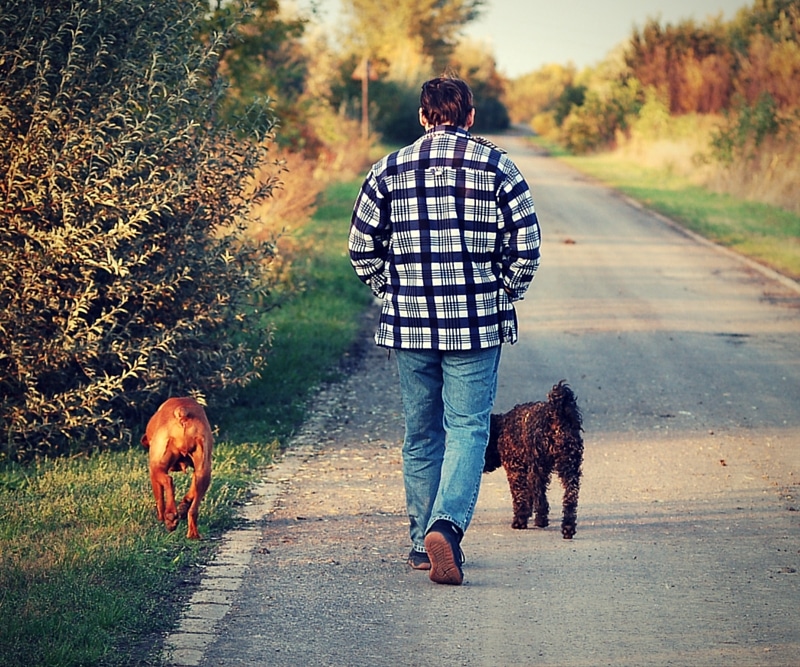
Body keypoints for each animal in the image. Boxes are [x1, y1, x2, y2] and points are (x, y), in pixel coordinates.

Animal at [141, 400, 214, 540]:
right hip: (204, 472)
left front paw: (160, 518)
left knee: (168, 481)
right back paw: (192, 533)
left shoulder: (153, 474)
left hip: (156, 467)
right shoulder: (197, 471)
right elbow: (191, 494)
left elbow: (159, 499)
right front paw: (183, 507)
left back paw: (170, 517)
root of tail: (182, 412)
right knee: (193, 510)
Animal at [484, 380, 584, 536]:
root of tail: (556, 416)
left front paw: (521, 519)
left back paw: (540, 521)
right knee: (570, 498)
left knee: (540, 498)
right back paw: (568, 527)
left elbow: (521, 497)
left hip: (538, 469)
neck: (500, 429)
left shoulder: (516, 470)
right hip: (569, 468)